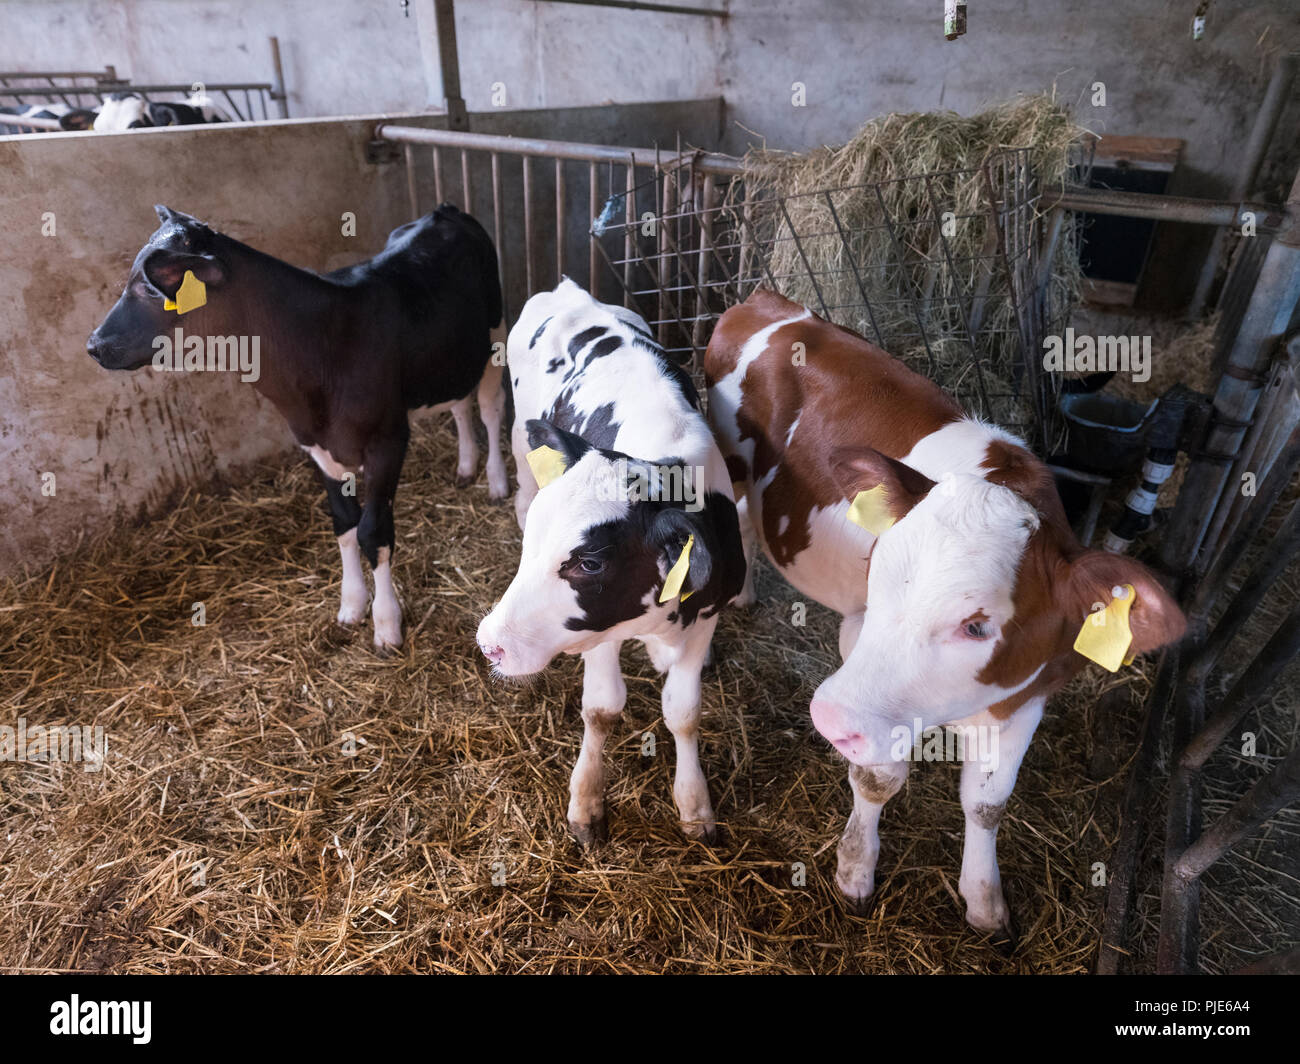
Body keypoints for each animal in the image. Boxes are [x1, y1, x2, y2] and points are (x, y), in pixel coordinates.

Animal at [87, 203, 508, 650]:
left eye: (152, 288)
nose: (93, 345)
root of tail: (443, 211)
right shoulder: (316, 445)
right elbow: (344, 523)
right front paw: (351, 605)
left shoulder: (387, 441)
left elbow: (372, 532)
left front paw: (386, 625)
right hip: (449, 356)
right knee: (459, 403)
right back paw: (466, 465)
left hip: (494, 335)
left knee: (488, 408)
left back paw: (496, 481)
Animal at [476, 279, 745, 844]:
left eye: (591, 564)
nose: (490, 645)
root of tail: (570, 289)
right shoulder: (598, 634)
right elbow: (601, 710)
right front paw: (586, 801)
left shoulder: (706, 615)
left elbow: (684, 712)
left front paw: (695, 804)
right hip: (520, 443)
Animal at [704, 288, 1186, 941]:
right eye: (877, 576)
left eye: (977, 626)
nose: (828, 717)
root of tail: (770, 301)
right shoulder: (857, 640)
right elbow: (877, 777)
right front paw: (855, 871)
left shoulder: (1028, 694)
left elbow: (987, 803)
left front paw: (984, 903)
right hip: (726, 462)